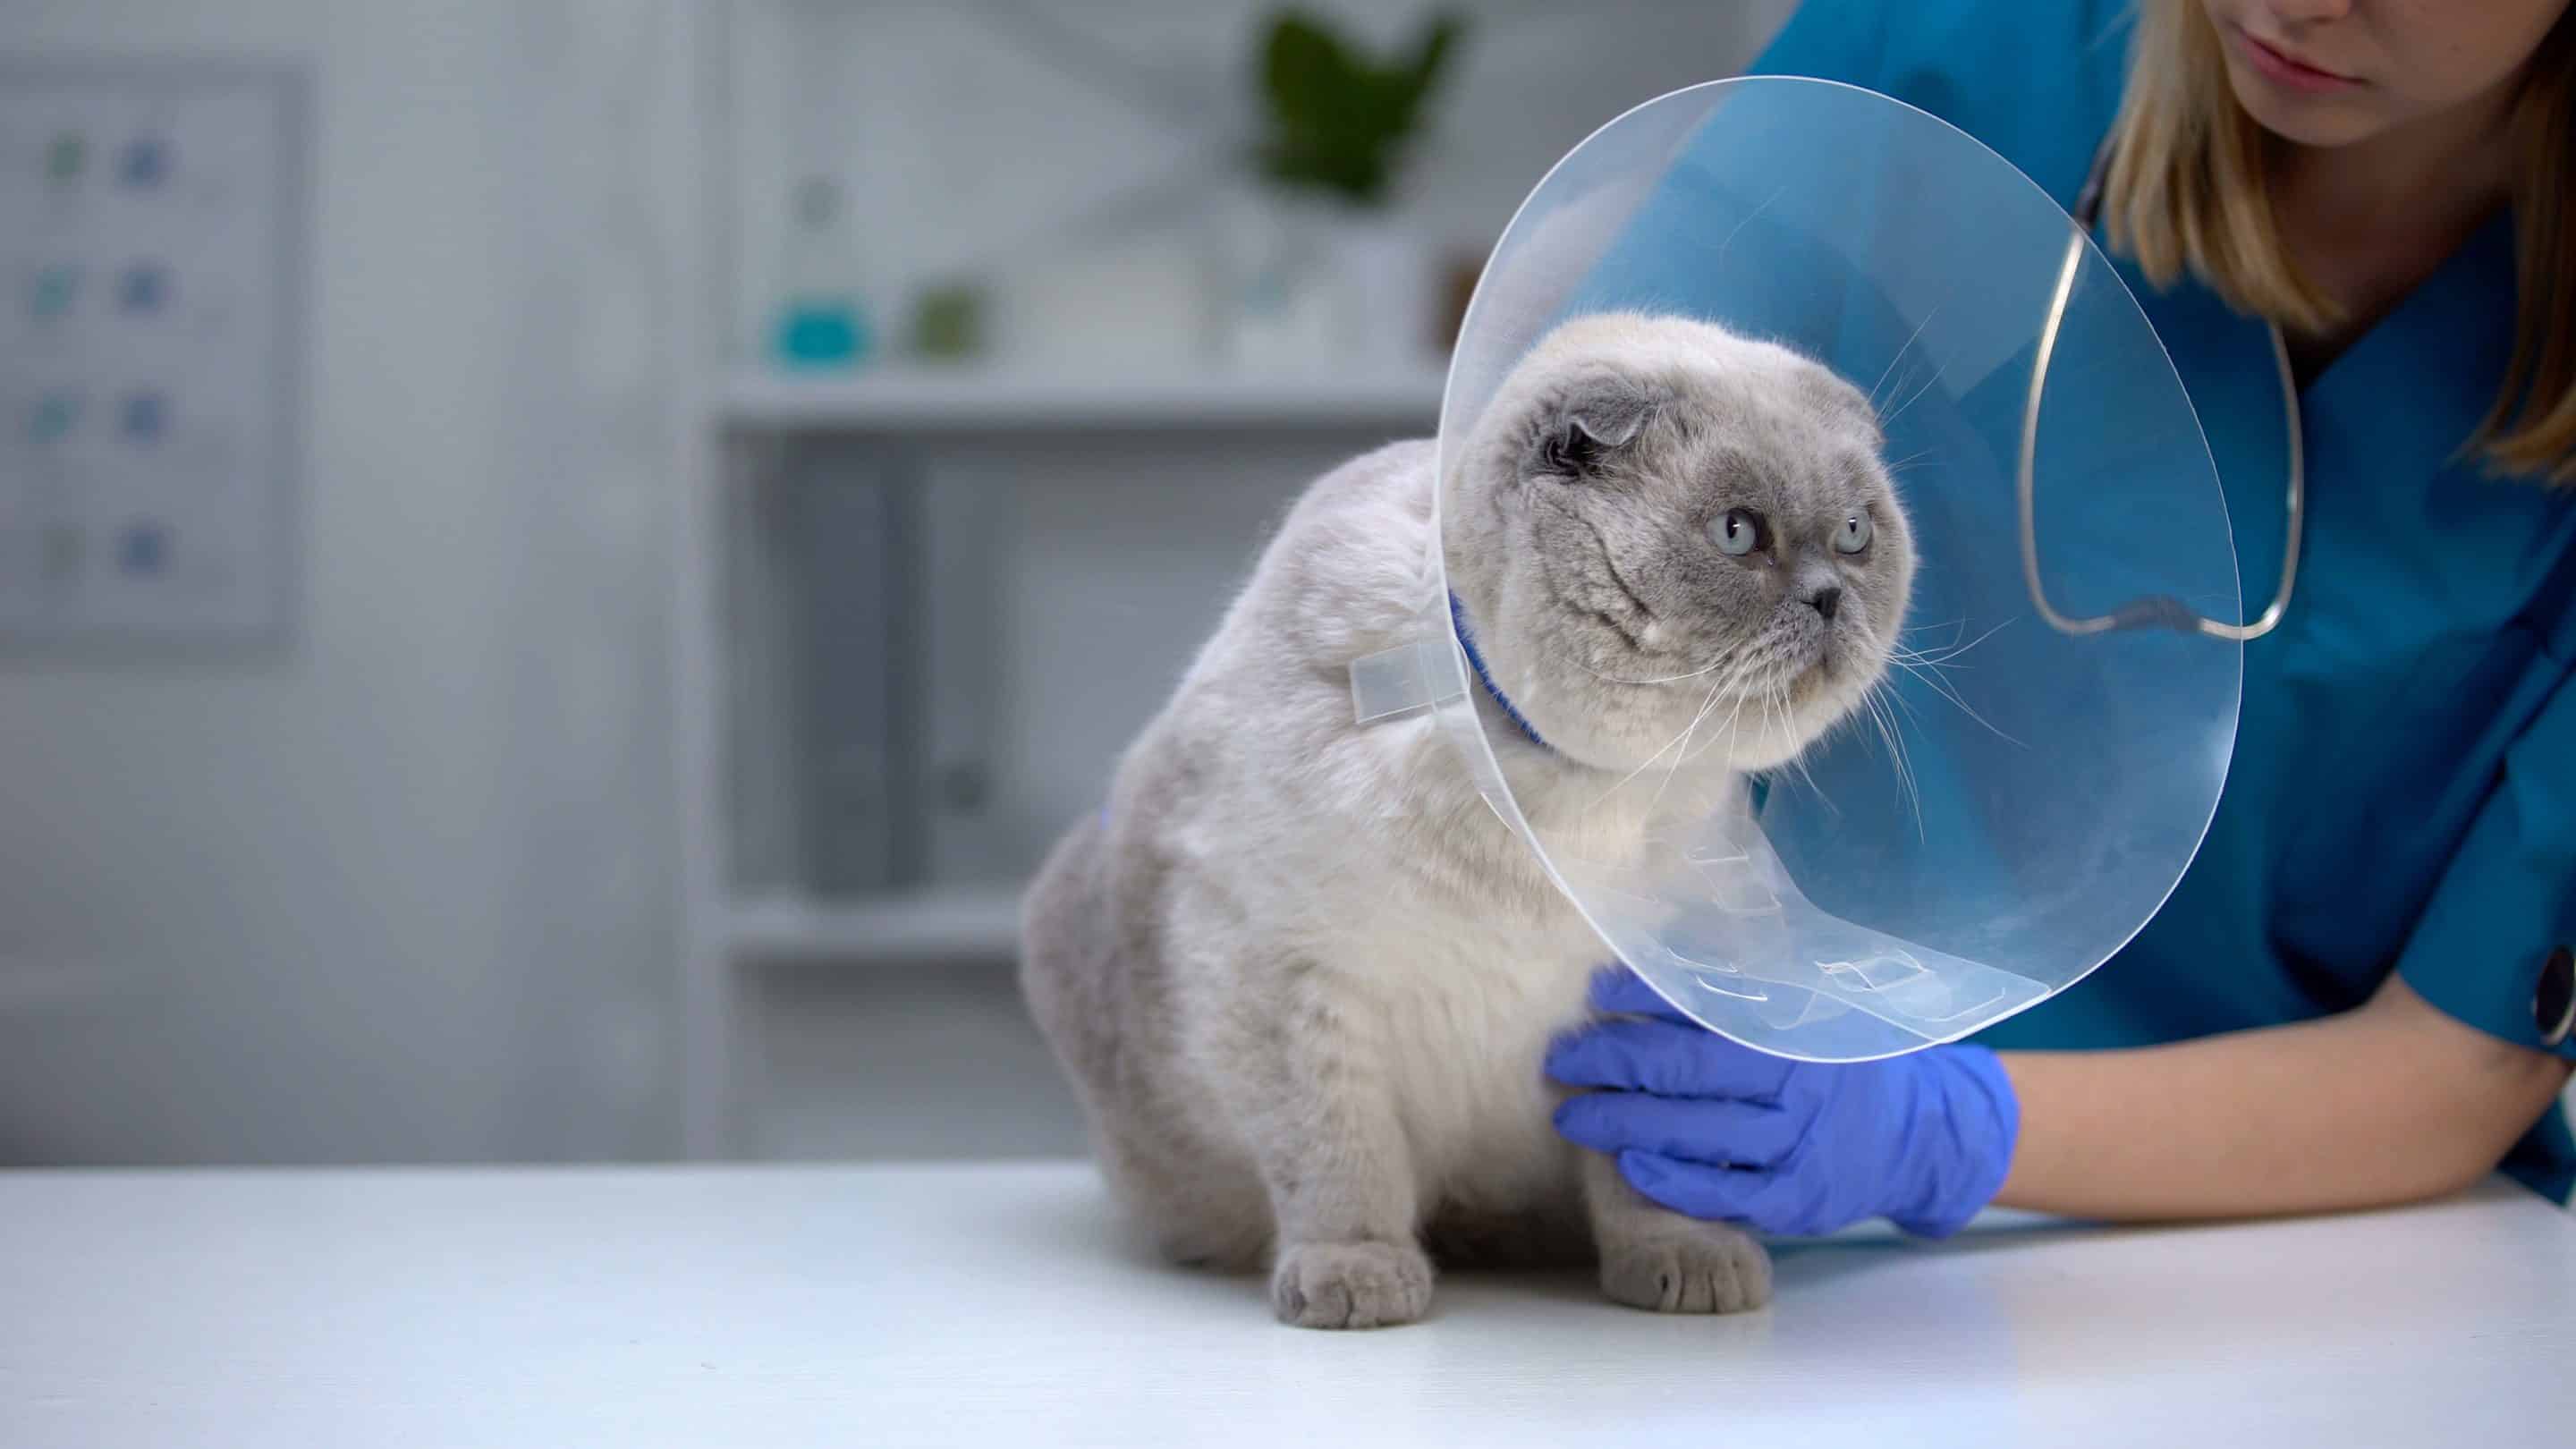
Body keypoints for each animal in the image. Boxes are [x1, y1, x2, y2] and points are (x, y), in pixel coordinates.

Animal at [1020, 310, 1916, 1330]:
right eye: (1738, 533)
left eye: (1855, 535)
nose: (1831, 597)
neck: (1553, 791)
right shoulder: (1284, 984)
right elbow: (1342, 1166)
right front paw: (1360, 1284)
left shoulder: (1647, 1008)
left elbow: (1649, 1173)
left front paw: (1687, 1266)